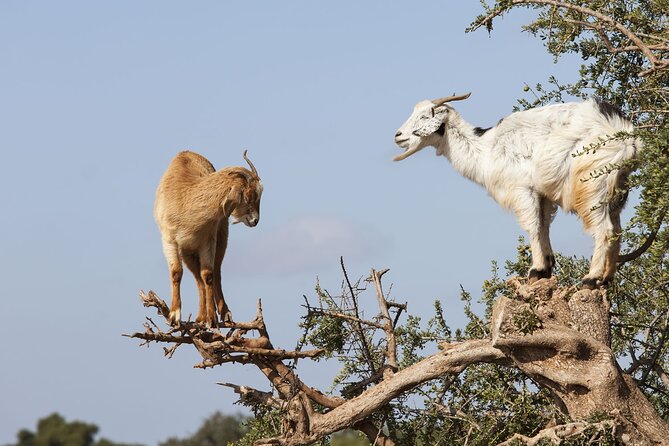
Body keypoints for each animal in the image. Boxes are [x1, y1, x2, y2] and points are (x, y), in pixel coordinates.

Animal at [154, 150, 263, 327]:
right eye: (249, 196)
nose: (255, 220)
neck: (186, 197)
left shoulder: (208, 240)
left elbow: (208, 275)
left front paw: (212, 319)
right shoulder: (170, 240)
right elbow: (177, 272)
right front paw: (174, 314)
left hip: (221, 238)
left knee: (215, 271)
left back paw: (224, 313)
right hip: (188, 251)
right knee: (198, 279)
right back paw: (200, 317)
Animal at [394, 93, 639, 288]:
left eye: (425, 116)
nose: (398, 135)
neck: (486, 149)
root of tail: (626, 136)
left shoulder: (522, 189)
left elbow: (532, 226)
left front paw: (536, 269)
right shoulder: (542, 194)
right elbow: (543, 225)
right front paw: (546, 267)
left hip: (591, 186)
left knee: (604, 230)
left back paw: (591, 278)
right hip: (616, 189)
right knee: (617, 230)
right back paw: (606, 279)